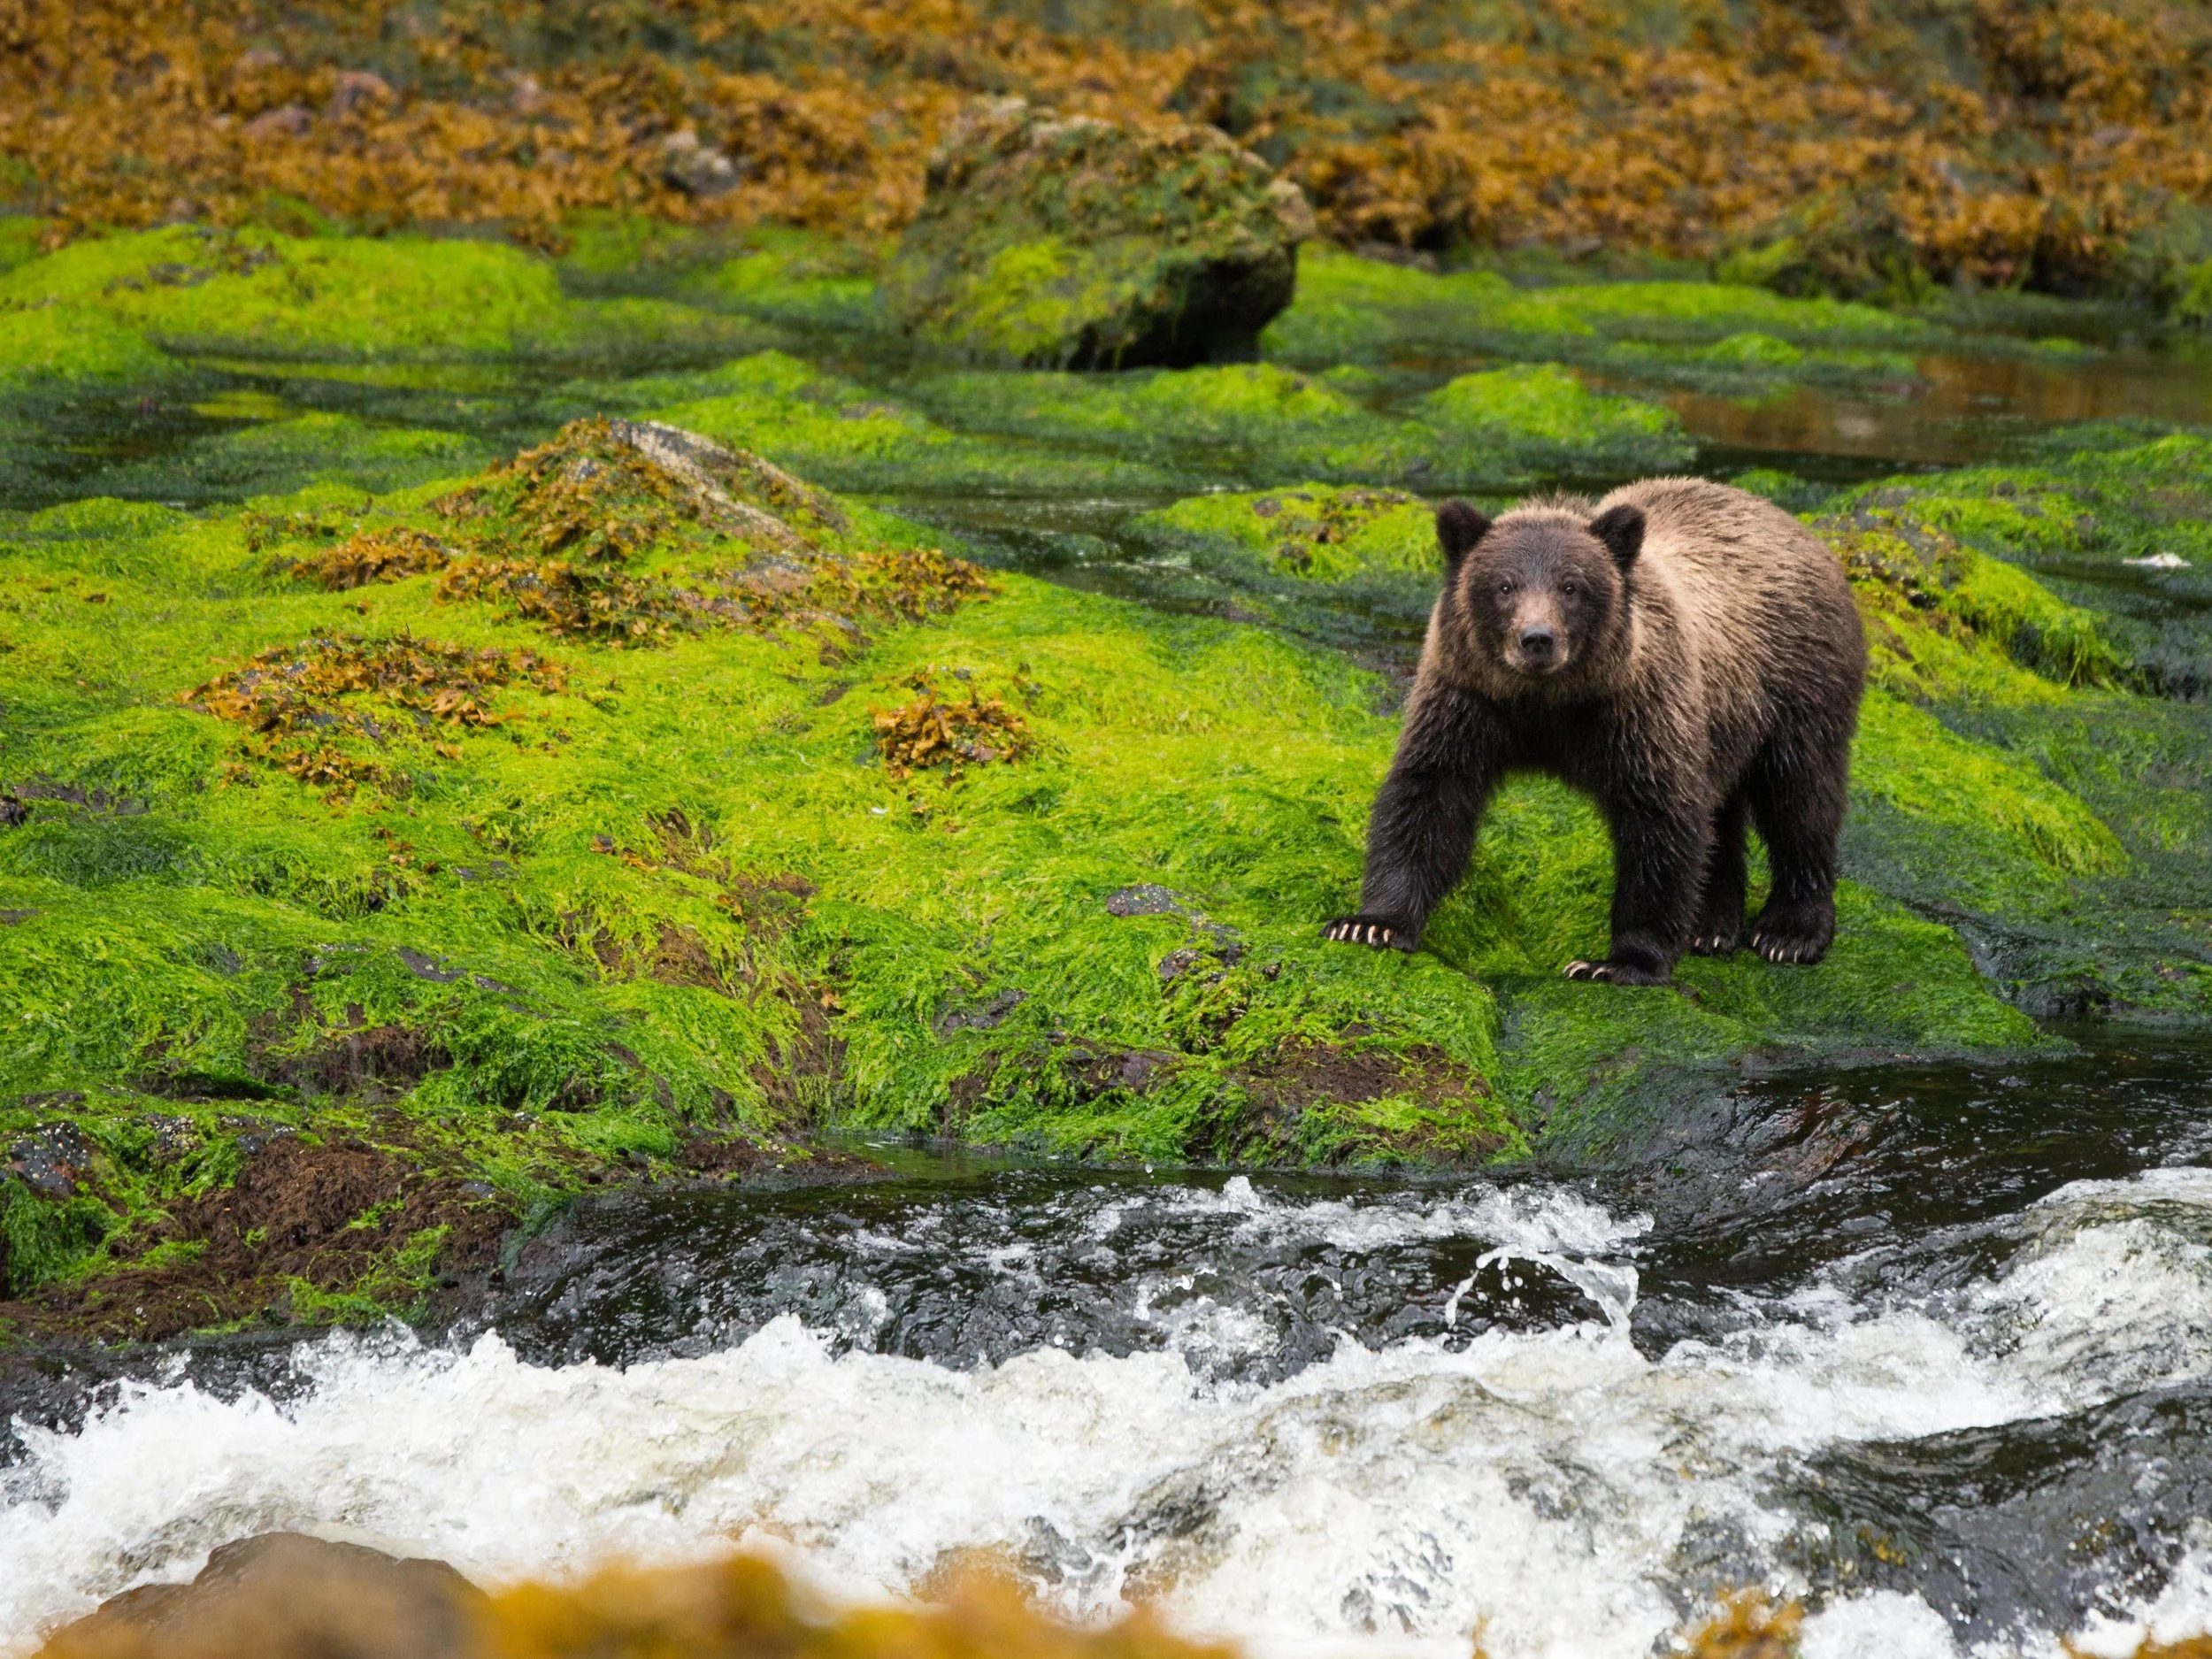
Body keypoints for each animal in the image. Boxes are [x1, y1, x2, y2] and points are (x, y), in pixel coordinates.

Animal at [1322, 477, 1866, 984]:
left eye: (1571, 586)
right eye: (1504, 585)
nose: (1537, 639)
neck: (1549, 701)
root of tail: (1790, 524)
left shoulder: (1636, 710)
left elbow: (1658, 821)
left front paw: (1618, 961)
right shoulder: (1471, 701)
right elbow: (1429, 797)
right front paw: (1369, 923)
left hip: (1796, 684)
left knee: (1800, 800)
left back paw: (1788, 932)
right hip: (1721, 717)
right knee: (1722, 812)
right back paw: (1710, 926)